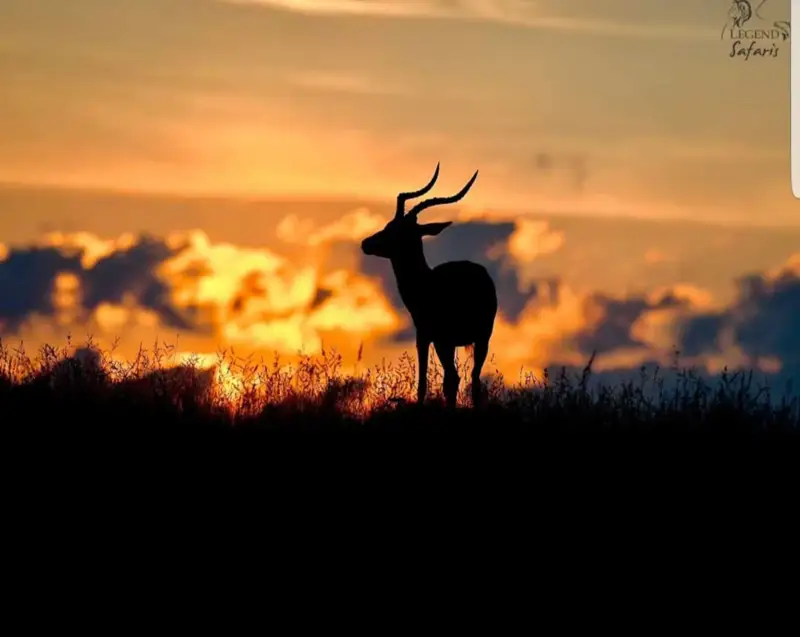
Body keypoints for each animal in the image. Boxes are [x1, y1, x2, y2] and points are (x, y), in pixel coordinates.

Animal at [361, 163, 498, 408]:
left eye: (397, 230)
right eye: (389, 224)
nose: (366, 243)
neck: (425, 283)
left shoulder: (431, 337)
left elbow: (432, 382)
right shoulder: (435, 339)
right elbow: (434, 383)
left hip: (462, 339)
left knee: (458, 378)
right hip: (474, 339)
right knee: (472, 378)